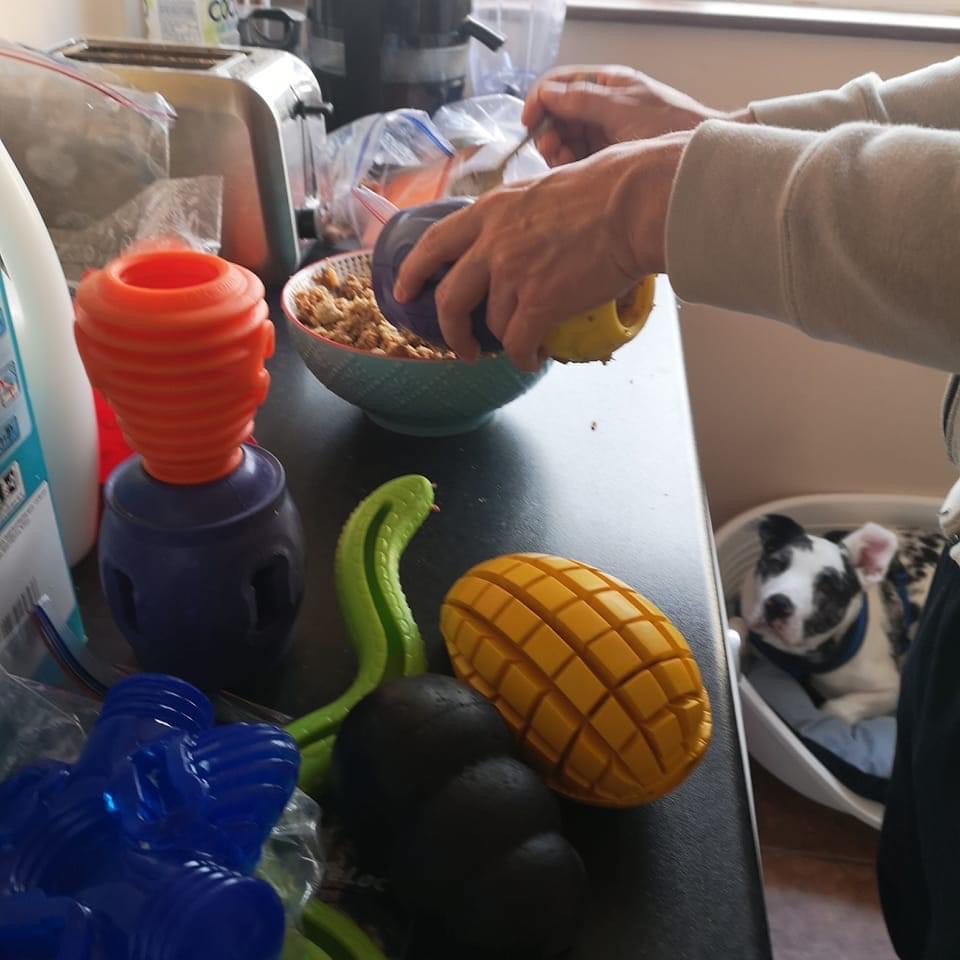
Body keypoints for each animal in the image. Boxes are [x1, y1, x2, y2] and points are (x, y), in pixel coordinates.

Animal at [737, 514, 942, 725]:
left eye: (827, 587)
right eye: (777, 564)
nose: (777, 604)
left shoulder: (891, 690)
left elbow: (834, 710)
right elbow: (737, 624)